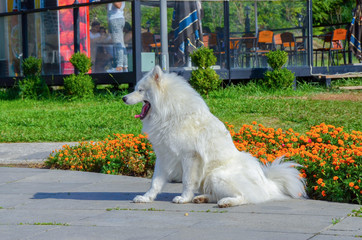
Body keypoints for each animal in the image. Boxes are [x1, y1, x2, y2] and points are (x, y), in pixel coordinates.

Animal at [123, 66, 306, 208]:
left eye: (140, 90)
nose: (123, 98)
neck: (169, 113)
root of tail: (267, 184)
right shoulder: (163, 156)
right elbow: (155, 182)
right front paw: (146, 198)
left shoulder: (190, 157)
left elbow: (187, 181)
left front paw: (183, 198)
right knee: (217, 195)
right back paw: (202, 198)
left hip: (216, 175)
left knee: (244, 197)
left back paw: (226, 202)